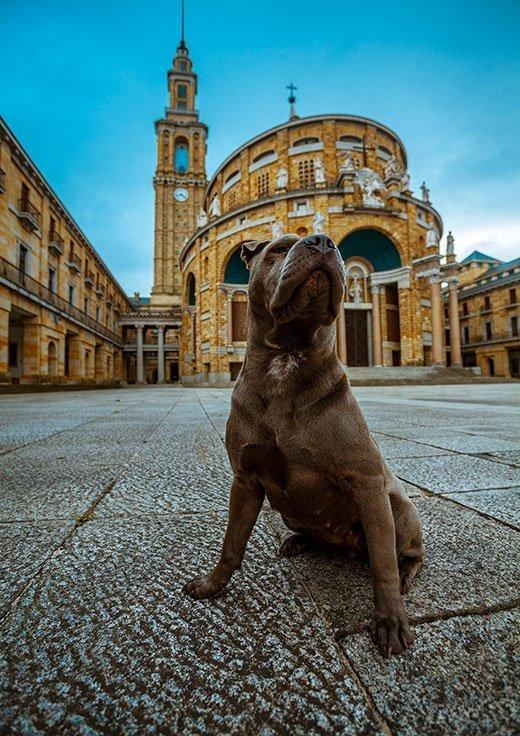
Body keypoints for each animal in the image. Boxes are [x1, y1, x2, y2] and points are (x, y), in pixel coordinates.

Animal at [185, 234, 424, 656]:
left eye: (336, 248)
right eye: (278, 249)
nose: (323, 240)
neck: (286, 359)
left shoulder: (367, 481)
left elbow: (383, 565)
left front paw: (390, 620)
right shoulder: (245, 480)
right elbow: (232, 543)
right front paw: (213, 584)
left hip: (397, 509)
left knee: (405, 554)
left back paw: (405, 574)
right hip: (292, 513)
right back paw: (297, 541)